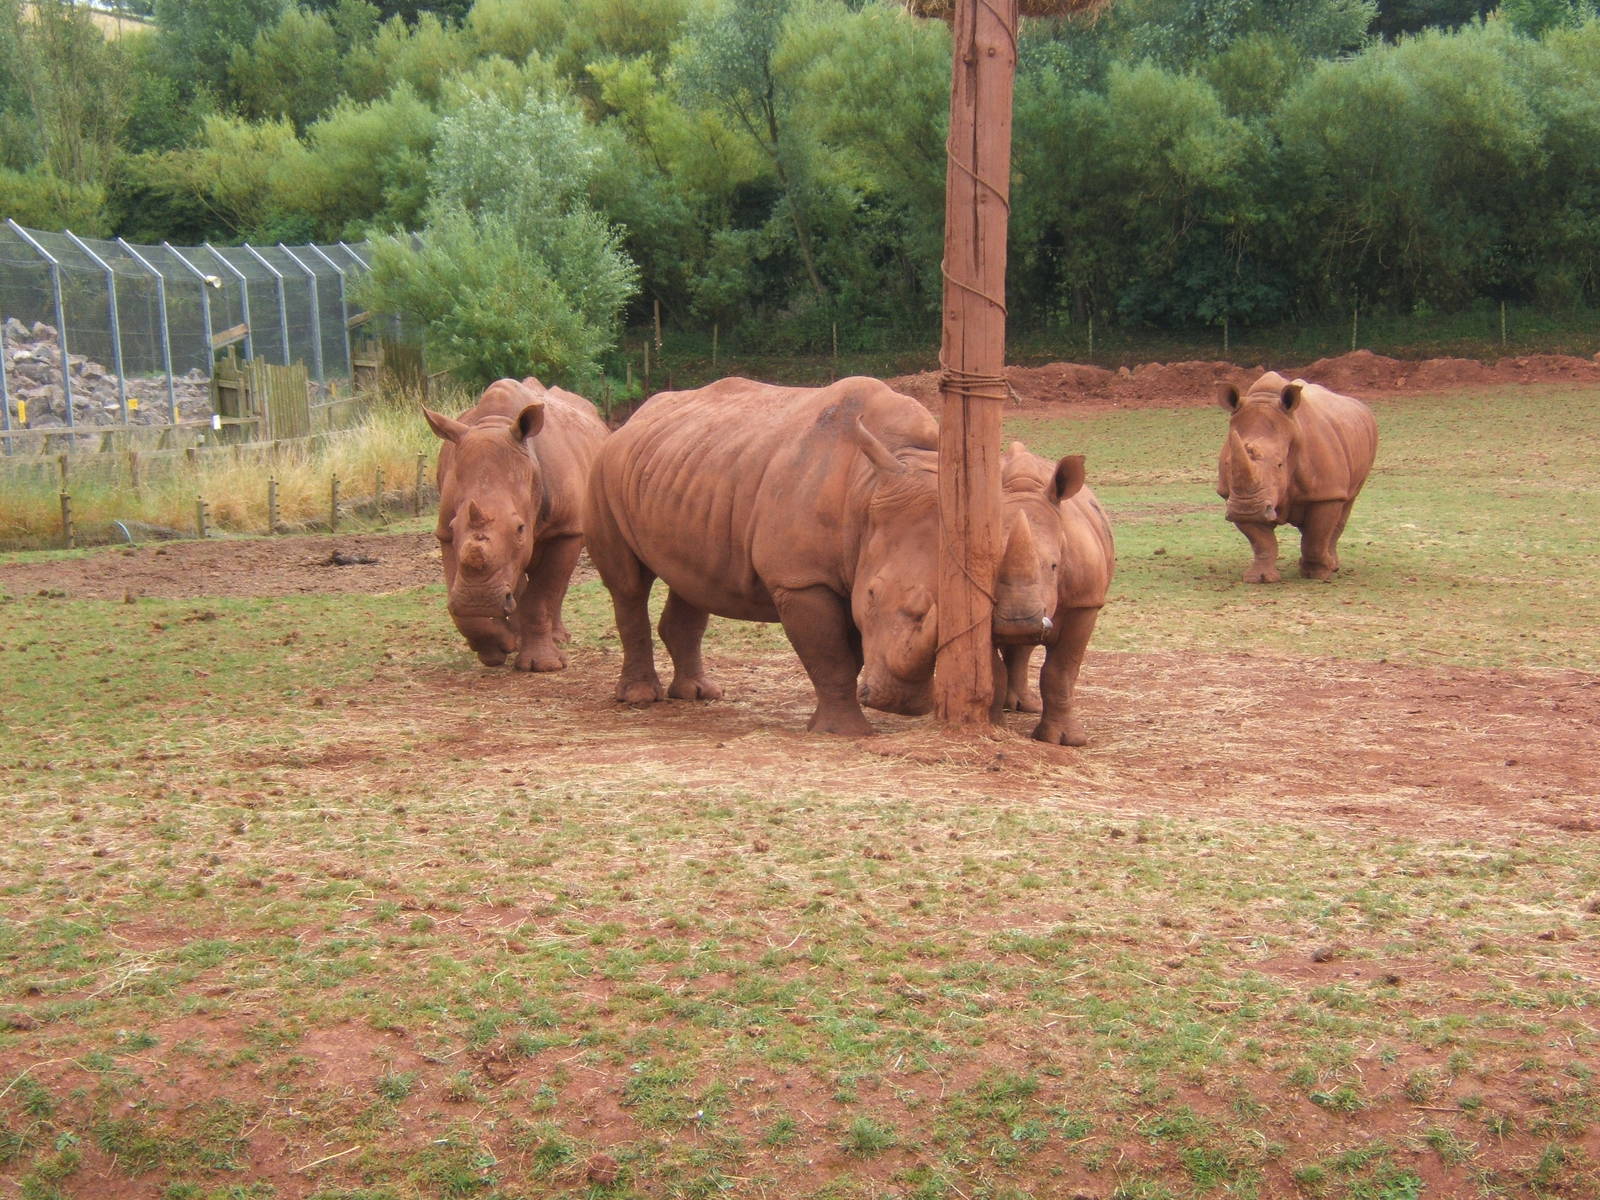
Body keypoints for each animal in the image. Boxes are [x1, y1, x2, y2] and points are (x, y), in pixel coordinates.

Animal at [424, 377, 608, 670]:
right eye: (453, 527)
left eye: (521, 528)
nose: (479, 600)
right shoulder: (444, 532)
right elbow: (460, 595)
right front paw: (498, 648)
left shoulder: (566, 528)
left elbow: (543, 595)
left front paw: (543, 665)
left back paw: (559, 638)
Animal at [584, 375, 1051, 735]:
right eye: (873, 594)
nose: (899, 704)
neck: (870, 487)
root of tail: (631, 420)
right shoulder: (801, 579)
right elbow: (830, 654)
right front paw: (844, 732)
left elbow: (849, 651)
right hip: (604, 465)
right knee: (628, 585)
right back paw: (640, 699)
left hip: (690, 470)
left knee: (693, 579)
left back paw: (700, 694)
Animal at [993, 444, 1116, 746]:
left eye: (1054, 566)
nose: (1017, 623)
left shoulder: (1085, 602)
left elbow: (1060, 670)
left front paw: (1064, 740)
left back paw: (1025, 706)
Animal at [1216, 371, 1378, 583]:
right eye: (1228, 464)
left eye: (1280, 464)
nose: (1247, 509)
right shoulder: (1235, 496)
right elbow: (1262, 542)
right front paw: (1260, 578)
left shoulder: (1327, 493)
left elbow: (1316, 536)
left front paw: (1317, 574)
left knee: (1347, 502)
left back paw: (1331, 566)